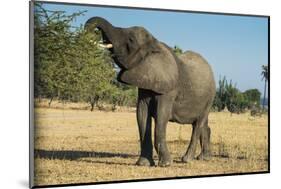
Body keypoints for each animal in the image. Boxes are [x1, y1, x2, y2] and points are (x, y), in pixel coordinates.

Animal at [84, 16, 215, 167]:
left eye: (131, 40)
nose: (92, 33)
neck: (155, 43)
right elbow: (141, 114)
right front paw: (143, 164)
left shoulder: (169, 89)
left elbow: (161, 116)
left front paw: (166, 164)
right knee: (203, 124)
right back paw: (204, 157)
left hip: (210, 98)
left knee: (198, 124)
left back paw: (187, 159)